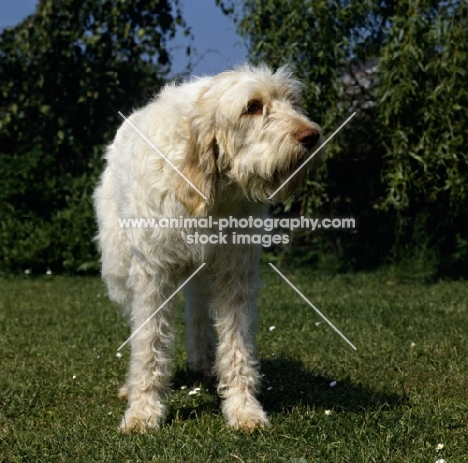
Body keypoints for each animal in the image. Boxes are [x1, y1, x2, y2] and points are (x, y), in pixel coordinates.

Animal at [93, 63, 324, 434]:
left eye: (292, 102)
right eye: (252, 107)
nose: (313, 137)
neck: (210, 183)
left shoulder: (235, 275)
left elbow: (237, 345)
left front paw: (244, 409)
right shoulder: (153, 275)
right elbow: (149, 343)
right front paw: (143, 411)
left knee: (198, 310)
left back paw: (203, 361)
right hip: (119, 271)